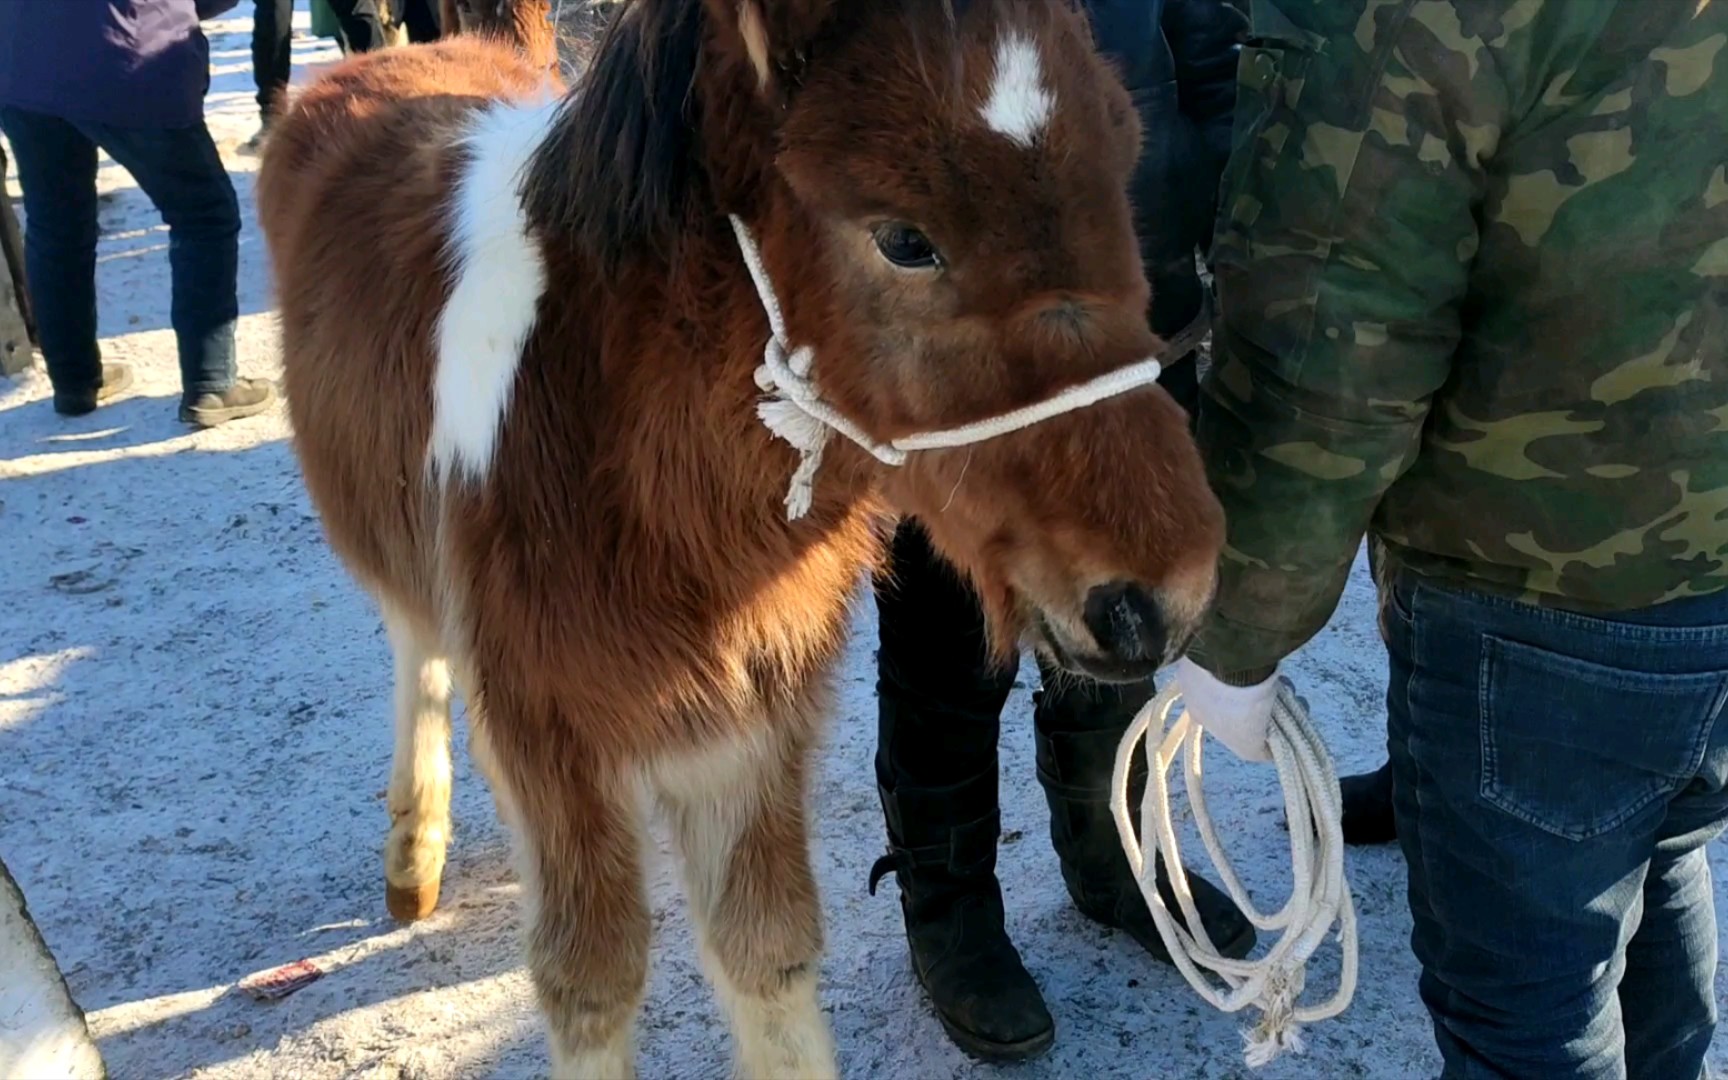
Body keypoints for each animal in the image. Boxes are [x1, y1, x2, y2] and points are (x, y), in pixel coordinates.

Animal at [255, 4, 1230, 1071]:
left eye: (1128, 162)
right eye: (904, 240)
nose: (1162, 593)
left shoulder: (749, 721)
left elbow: (766, 949)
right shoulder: (548, 733)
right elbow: (591, 983)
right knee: (416, 644)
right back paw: (412, 852)